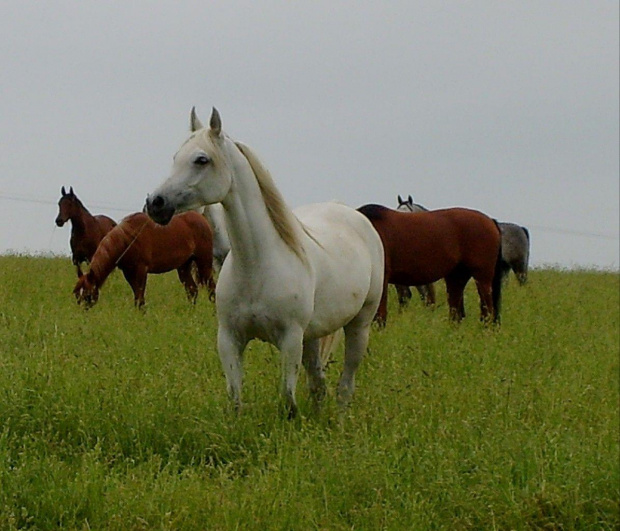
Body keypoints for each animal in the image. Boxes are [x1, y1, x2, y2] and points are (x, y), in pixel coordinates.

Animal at [73, 211, 216, 308]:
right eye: (77, 295)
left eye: (87, 295)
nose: (83, 312)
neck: (128, 239)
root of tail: (201, 219)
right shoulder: (128, 273)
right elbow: (137, 296)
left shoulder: (141, 271)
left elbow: (140, 297)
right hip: (183, 267)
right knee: (192, 290)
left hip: (204, 263)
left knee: (211, 287)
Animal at [147, 106, 386, 418]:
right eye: (175, 157)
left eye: (201, 159)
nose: (155, 203)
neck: (256, 265)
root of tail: (354, 216)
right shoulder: (229, 340)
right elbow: (235, 400)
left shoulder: (290, 340)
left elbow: (288, 401)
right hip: (312, 336)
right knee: (318, 385)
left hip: (359, 325)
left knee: (344, 388)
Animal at [356, 205, 506, 326]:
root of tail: (491, 221)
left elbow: (379, 316)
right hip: (456, 277)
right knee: (456, 313)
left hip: (482, 276)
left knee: (487, 310)